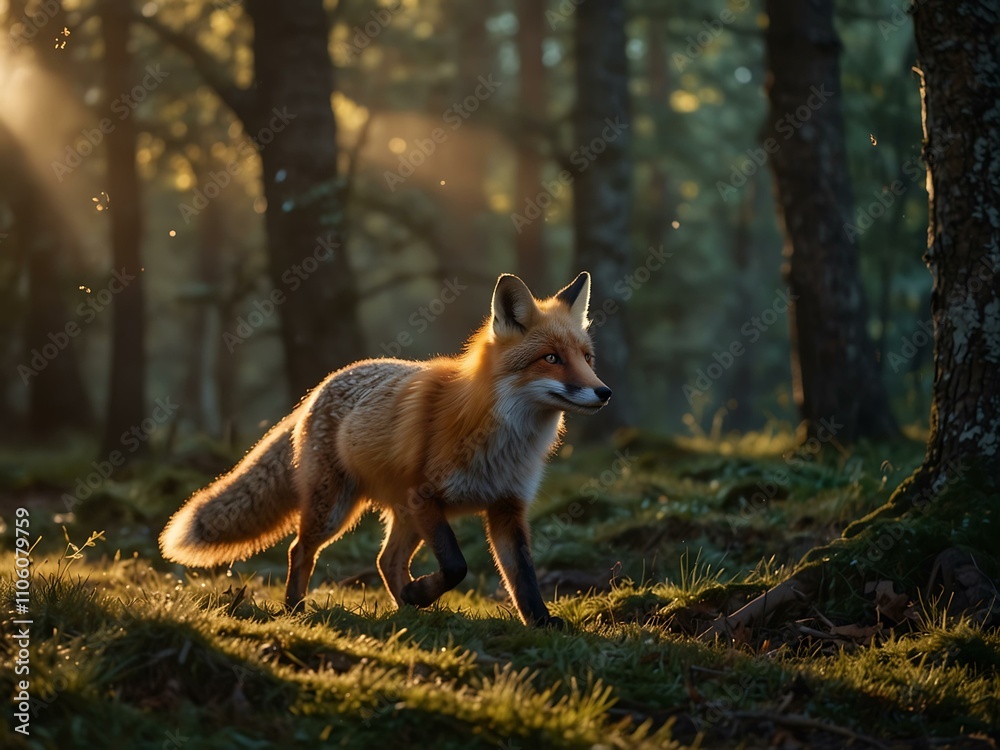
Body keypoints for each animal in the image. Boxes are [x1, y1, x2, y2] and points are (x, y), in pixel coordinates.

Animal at [159, 272, 611, 627]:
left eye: (586, 358)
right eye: (551, 358)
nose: (604, 392)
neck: (503, 443)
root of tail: (319, 388)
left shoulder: (506, 507)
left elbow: (524, 577)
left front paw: (541, 623)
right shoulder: (426, 497)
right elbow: (456, 565)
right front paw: (422, 592)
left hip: (404, 516)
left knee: (386, 561)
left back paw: (408, 608)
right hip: (337, 509)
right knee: (299, 551)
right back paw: (295, 610)